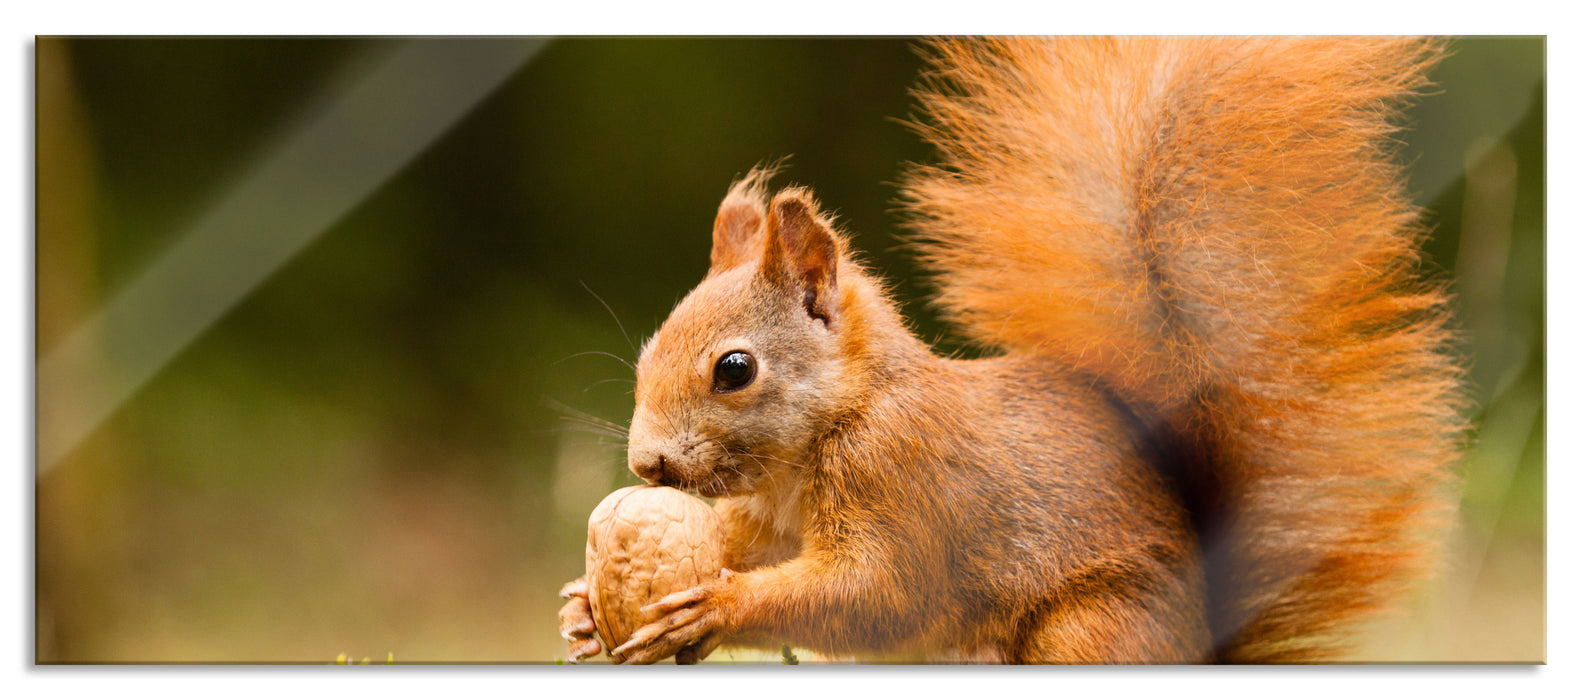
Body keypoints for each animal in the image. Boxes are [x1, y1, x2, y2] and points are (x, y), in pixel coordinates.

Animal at [560, 35, 1468, 665]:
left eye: (735, 370)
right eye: (648, 352)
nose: (645, 465)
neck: (837, 422)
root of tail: (1210, 643)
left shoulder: (903, 480)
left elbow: (878, 592)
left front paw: (716, 605)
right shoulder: (769, 521)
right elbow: (754, 550)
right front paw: (583, 606)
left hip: (1093, 632)